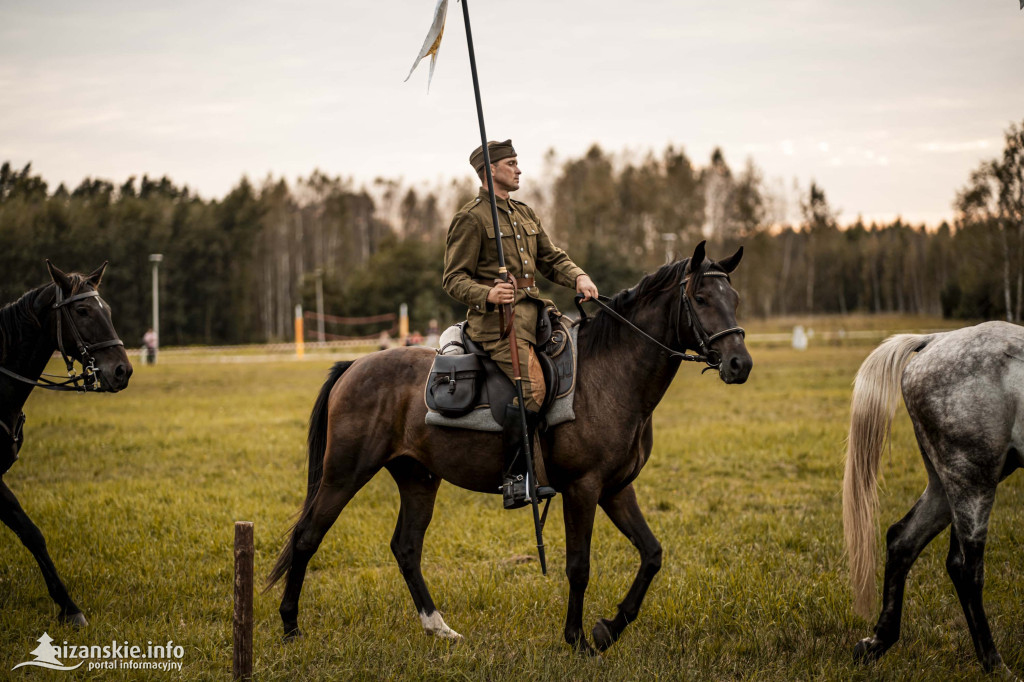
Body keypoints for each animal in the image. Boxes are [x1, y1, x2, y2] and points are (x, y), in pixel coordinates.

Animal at [0, 262, 134, 622]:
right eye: (82, 310)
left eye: (108, 310)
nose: (123, 371)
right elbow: (31, 533)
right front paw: (68, 606)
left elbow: (30, 532)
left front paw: (68, 606)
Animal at [270, 241, 753, 651]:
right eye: (701, 299)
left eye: (735, 299)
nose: (740, 364)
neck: (610, 375)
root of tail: (355, 365)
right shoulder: (583, 489)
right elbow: (579, 566)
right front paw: (577, 638)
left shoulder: (616, 489)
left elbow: (651, 554)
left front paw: (607, 629)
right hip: (344, 473)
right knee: (307, 537)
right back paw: (291, 626)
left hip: (418, 478)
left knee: (406, 548)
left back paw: (439, 628)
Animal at [847, 321, 1024, 671]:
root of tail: (935, 339)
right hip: (972, 478)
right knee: (966, 569)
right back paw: (994, 663)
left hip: (947, 483)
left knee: (903, 540)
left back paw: (876, 643)